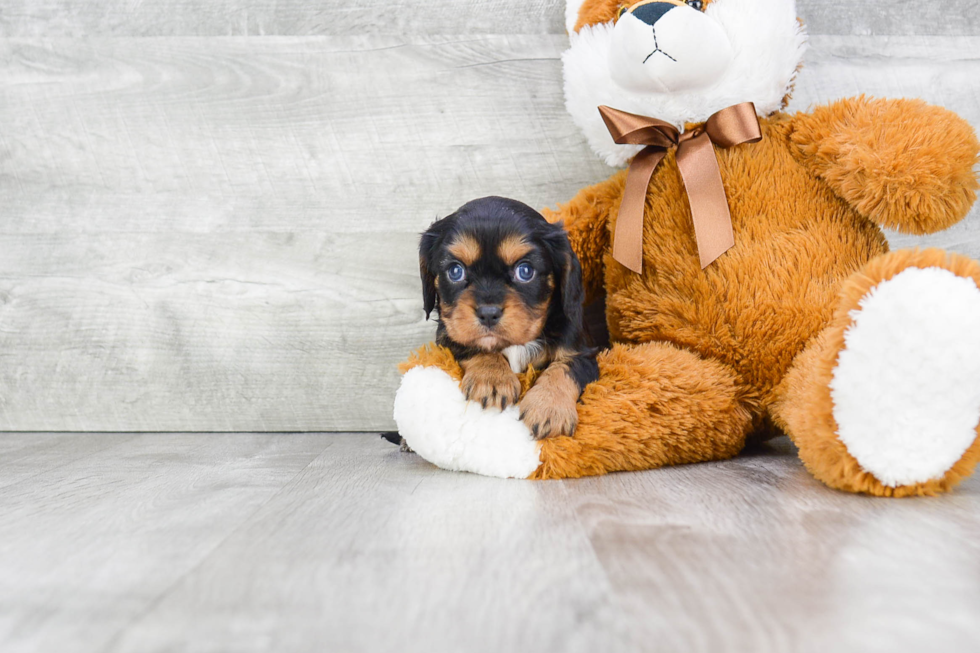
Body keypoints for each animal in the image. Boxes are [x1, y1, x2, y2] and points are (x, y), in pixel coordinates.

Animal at [420, 195, 600, 438]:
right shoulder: (448, 335)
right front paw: (492, 377)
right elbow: (473, 346)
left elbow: (565, 368)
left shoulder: (585, 354)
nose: (488, 313)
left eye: (525, 271)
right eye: (455, 271)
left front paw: (549, 407)